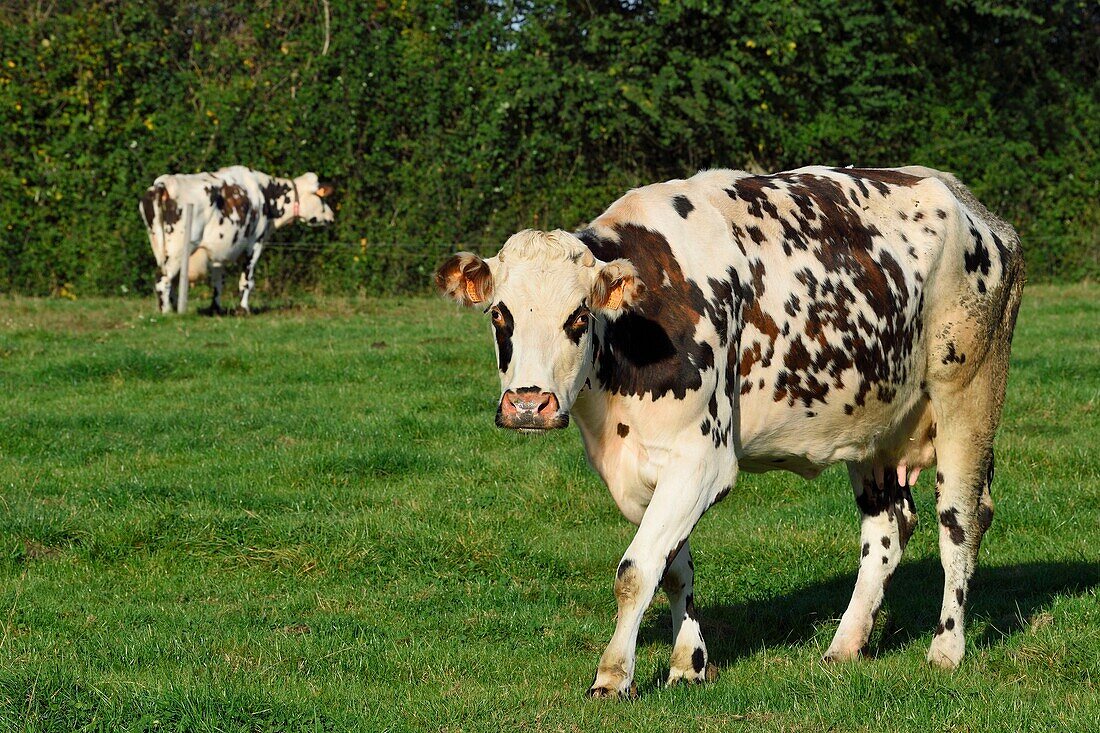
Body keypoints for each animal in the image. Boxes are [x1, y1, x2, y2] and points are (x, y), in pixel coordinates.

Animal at [139, 163, 332, 312]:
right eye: (320, 197)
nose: (332, 215)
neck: (265, 193)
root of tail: (164, 183)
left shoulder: (218, 249)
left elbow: (218, 281)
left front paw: (216, 308)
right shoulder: (256, 242)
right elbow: (247, 280)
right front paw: (244, 309)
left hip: (158, 244)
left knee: (169, 280)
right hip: (177, 250)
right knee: (163, 279)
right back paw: (167, 313)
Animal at [435, 167, 1020, 695]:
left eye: (578, 316)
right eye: (499, 314)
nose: (528, 404)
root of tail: (973, 208)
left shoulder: (703, 460)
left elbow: (635, 570)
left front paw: (613, 676)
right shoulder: (649, 466)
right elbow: (671, 568)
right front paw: (688, 665)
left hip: (968, 397)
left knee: (960, 522)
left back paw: (946, 649)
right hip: (876, 424)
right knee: (887, 528)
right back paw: (845, 645)